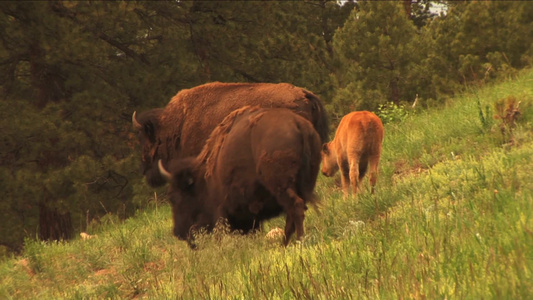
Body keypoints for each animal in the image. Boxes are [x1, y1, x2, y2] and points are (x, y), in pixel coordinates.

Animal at [158, 106, 322, 247]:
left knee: (296, 208)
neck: (204, 177)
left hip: (281, 186)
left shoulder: (220, 210)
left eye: (174, 197)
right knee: (292, 215)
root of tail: (298, 124)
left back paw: (298, 241)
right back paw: (285, 244)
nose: (178, 233)